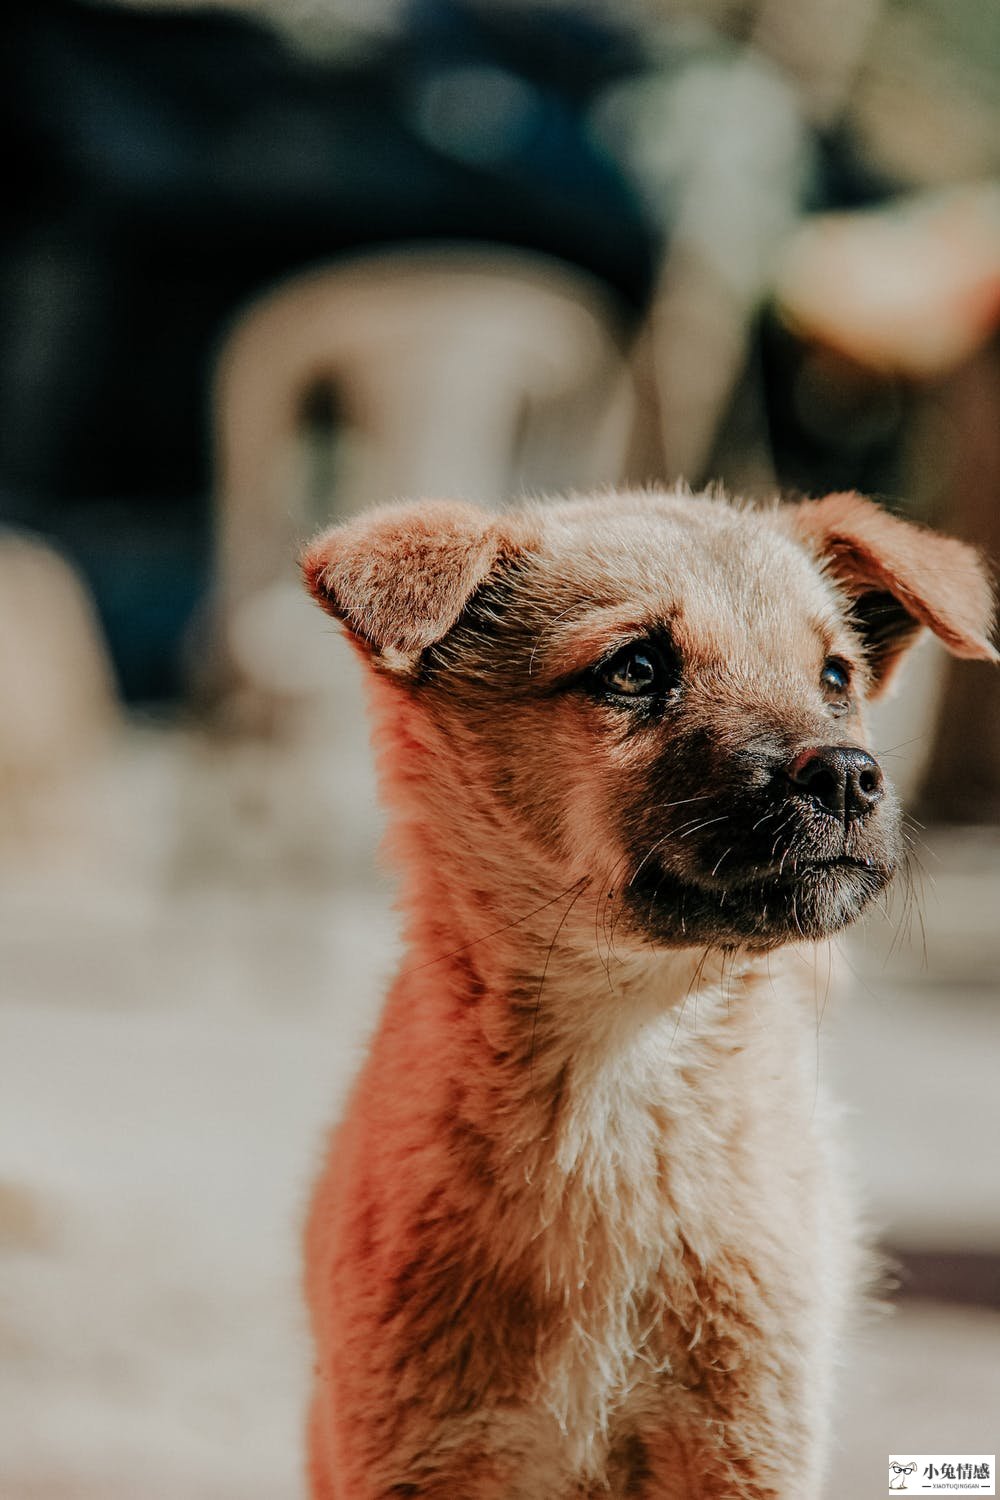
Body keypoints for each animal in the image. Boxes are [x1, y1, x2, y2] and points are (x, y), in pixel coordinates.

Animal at [296, 486, 995, 1494]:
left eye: (836, 677)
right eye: (635, 669)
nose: (849, 777)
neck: (626, 1069)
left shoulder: (745, 1445)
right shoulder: (420, 1452)